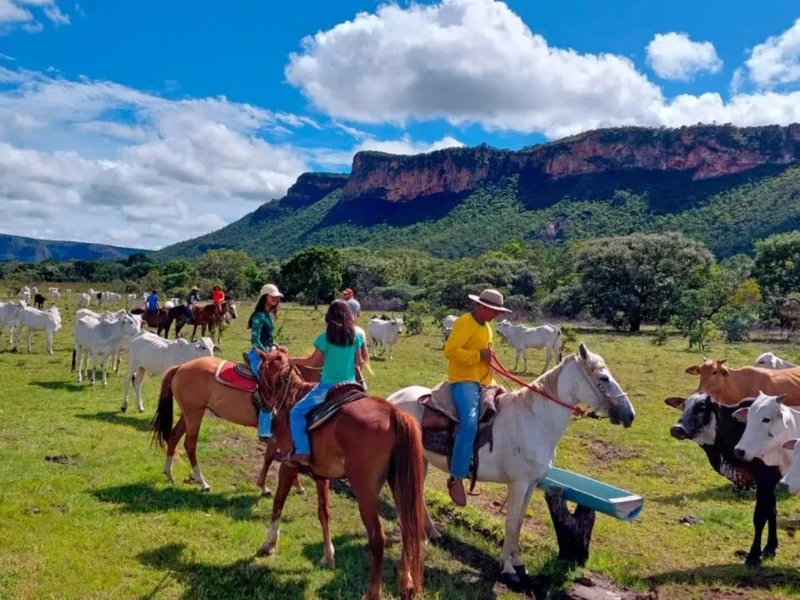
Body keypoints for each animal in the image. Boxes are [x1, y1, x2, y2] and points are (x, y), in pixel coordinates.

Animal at [150, 346, 424, 600]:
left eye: (264, 375)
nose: (259, 402)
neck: (292, 400)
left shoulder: (289, 464)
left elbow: (279, 501)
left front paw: (269, 542)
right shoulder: (319, 474)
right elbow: (323, 512)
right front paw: (327, 556)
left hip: (366, 490)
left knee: (379, 538)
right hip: (193, 412)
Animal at [390, 344, 636, 584]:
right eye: (603, 378)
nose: (630, 414)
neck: (534, 421)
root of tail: (393, 399)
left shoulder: (532, 484)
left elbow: (518, 523)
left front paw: (517, 563)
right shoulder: (518, 483)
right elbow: (510, 523)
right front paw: (507, 569)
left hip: (421, 459)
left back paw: (430, 532)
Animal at [664, 396, 784, 564]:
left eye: (702, 407)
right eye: (683, 405)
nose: (677, 428)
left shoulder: (765, 478)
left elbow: (760, 516)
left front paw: (753, 556)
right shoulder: (768, 482)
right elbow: (771, 512)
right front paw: (770, 548)